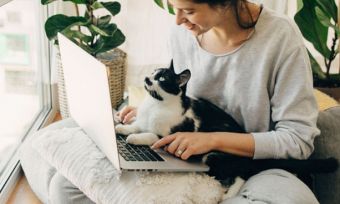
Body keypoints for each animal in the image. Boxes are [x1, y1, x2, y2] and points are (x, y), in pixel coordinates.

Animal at [115, 61, 338, 197]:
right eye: (153, 72)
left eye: (161, 79)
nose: (147, 78)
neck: (155, 104)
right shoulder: (143, 119)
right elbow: (136, 124)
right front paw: (121, 127)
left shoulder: (173, 133)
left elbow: (152, 135)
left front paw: (134, 138)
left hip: (213, 156)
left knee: (242, 174)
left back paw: (229, 194)